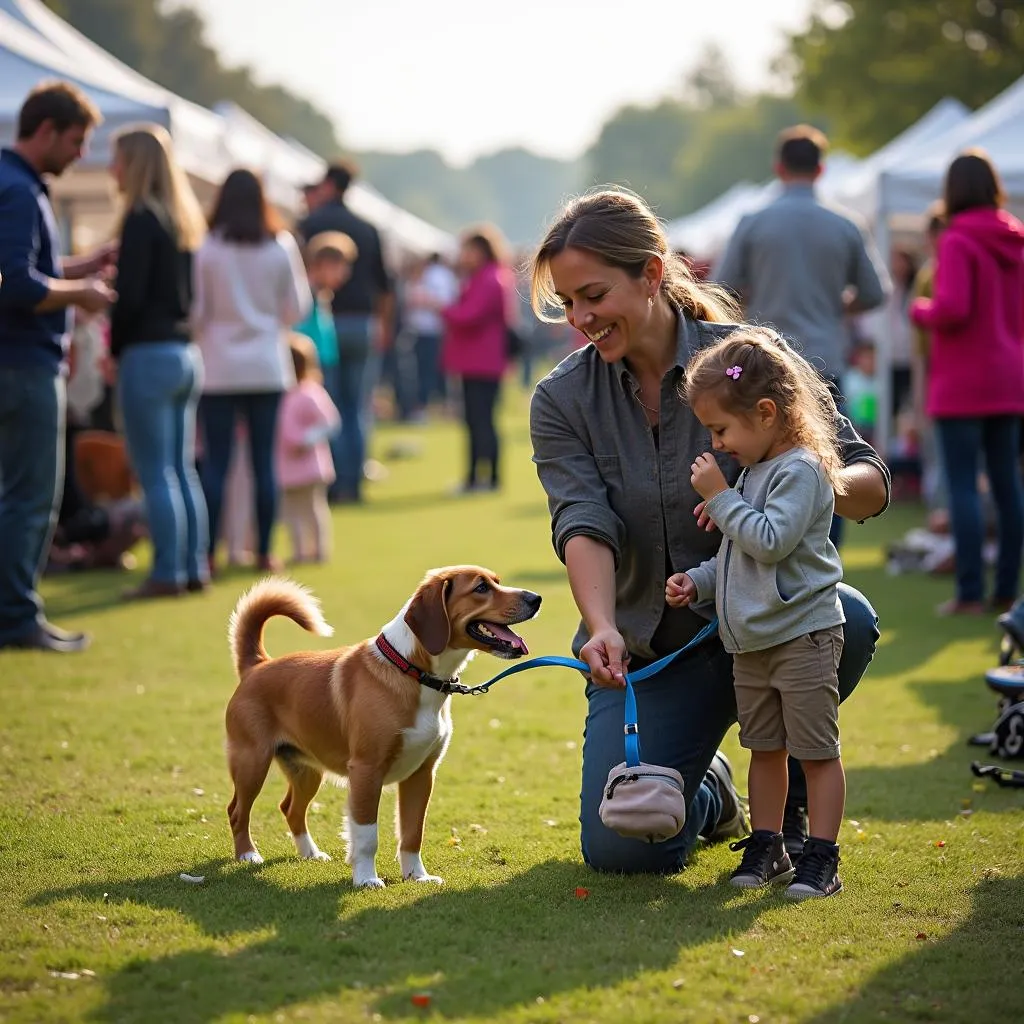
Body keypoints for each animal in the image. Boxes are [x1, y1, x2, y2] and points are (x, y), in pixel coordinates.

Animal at [225, 569, 544, 888]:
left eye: (497, 582)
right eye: (481, 588)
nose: (536, 598)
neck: (413, 672)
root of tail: (257, 665)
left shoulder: (422, 774)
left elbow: (413, 832)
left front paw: (417, 876)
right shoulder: (367, 771)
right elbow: (367, 835)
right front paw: (366, 878)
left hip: (307, 771)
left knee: (290, 809)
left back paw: (311, 854)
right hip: (252, 763)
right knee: (237, 811)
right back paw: (248, 855)